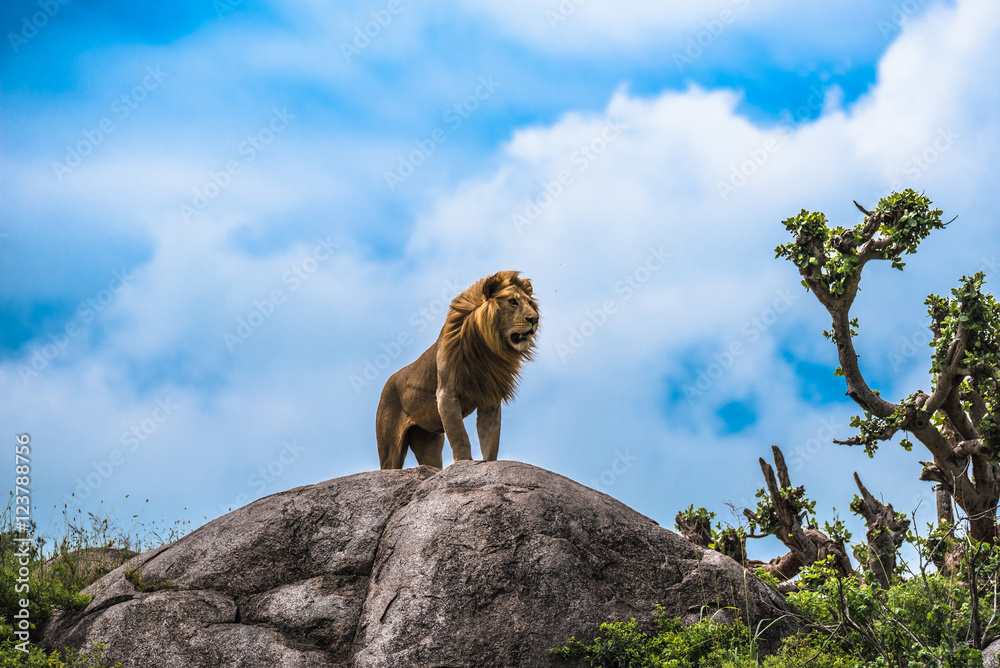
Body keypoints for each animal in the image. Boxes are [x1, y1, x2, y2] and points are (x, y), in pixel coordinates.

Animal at [376, 272, 540, 470]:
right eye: (512, 302)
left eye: (530, 303)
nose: (535, 319)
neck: (487, 350)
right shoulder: (446, 395)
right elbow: (460, 437)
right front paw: (465, 463)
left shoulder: (490, 399)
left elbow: (491, 440)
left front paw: (489, 464)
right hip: (390, 445)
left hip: (428, 441)